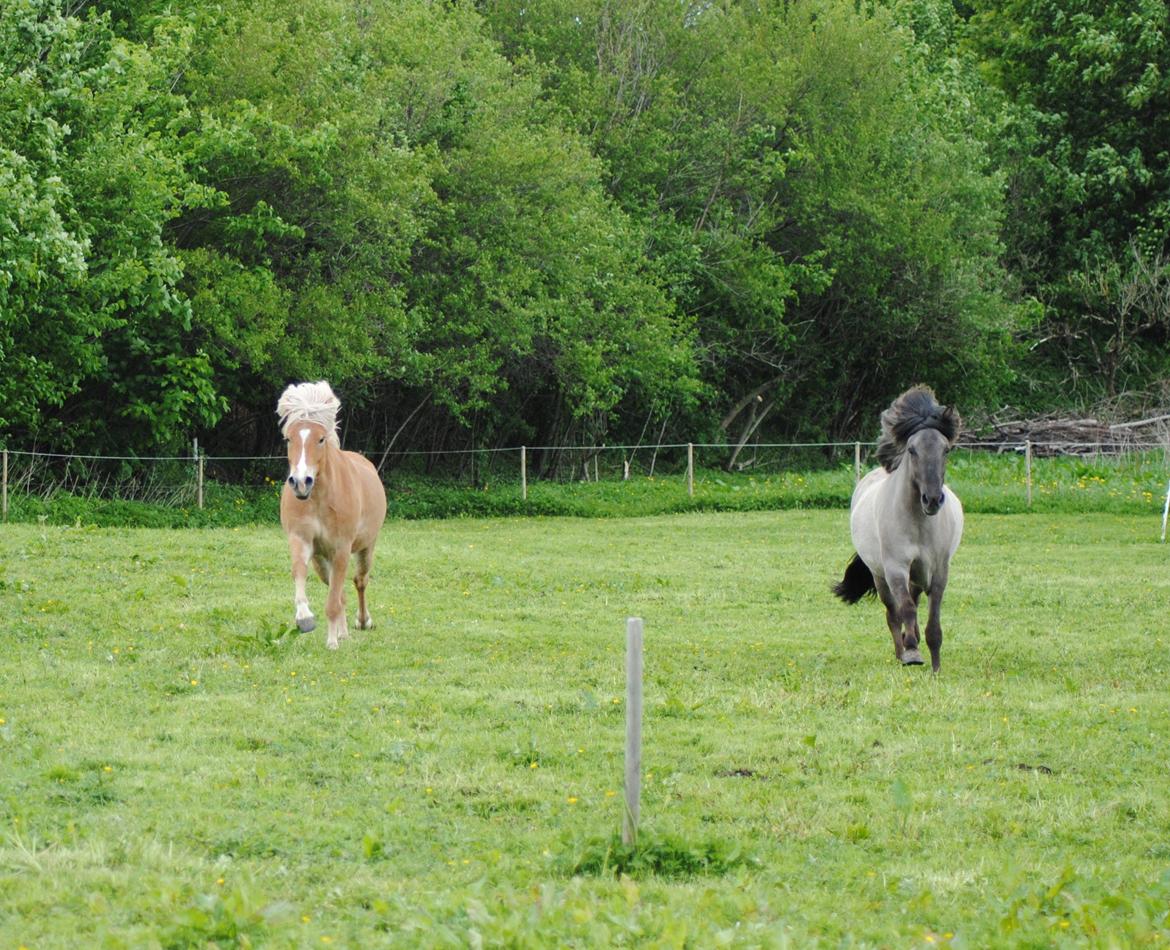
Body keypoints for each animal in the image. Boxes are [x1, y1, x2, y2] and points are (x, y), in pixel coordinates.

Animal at [274, 381, 386, 650]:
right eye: (289, 438)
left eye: (321, 439)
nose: (300, 482)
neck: (318, 500)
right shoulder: (302, 541)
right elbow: (299, 572)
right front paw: (305, 618)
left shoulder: (341, 549)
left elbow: (335, 600)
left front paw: (332, 642)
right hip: (321, 561)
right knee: (341, 591)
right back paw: (343, 632)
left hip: (365, 548)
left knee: (359, 582)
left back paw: (362, 622)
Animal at [833, 383, 959, 669]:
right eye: (912, 450)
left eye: (946, 450)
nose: (932, 499)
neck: (919, 524)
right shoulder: (895, 568)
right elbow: (905, 609)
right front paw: (912, 653)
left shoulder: (939, 571)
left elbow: (933, 622)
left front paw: (936, 666)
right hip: (880, 575)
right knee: (893, 612)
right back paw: (902, 650)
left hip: (917, 574)